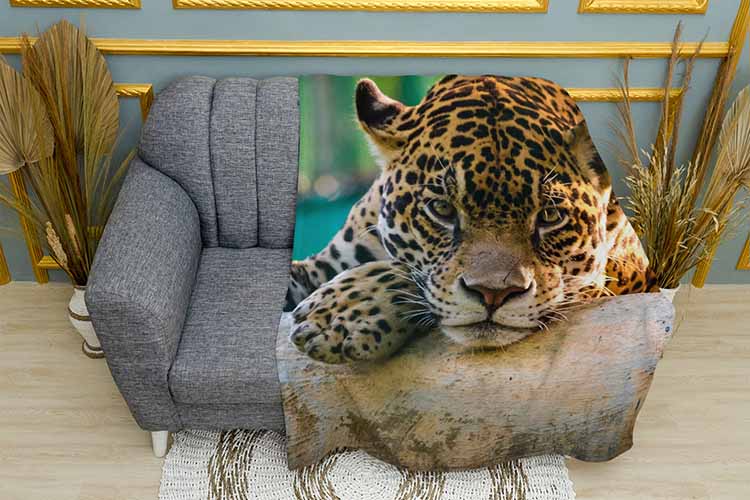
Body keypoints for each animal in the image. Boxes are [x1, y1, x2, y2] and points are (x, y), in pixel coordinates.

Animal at [286, 74, 658, 364]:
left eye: (550, 216)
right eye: (442, 209)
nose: (494, 294)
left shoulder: (626, 270)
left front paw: (343, 313)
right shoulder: (320, 264)